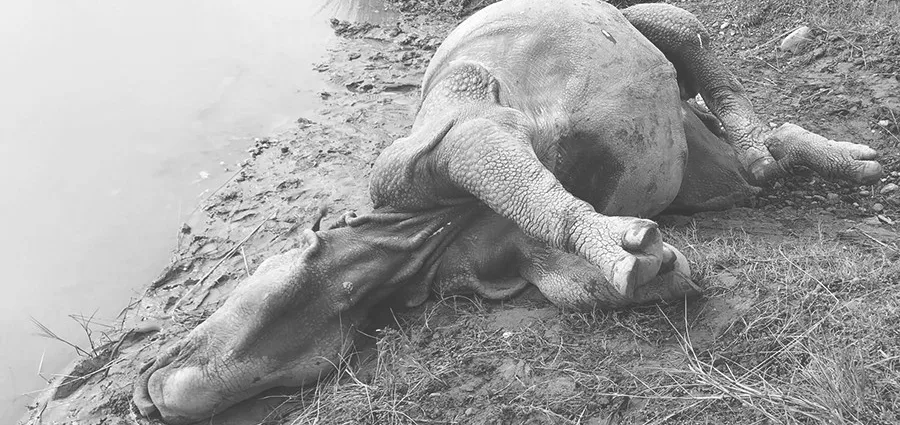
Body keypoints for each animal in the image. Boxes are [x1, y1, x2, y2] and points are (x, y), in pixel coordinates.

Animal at [132, 0, 882, 423]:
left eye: (191, 330)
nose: (144, 394)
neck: (409, 242)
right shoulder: (507, 256)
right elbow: (585, 282)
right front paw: (651, 263)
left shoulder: (457, 129)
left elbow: (519, 178)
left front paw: (615, 242)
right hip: (700, 170)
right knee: (749, 160)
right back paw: (838, 160)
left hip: (650, 30)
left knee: (686, 36)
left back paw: (771, 145)